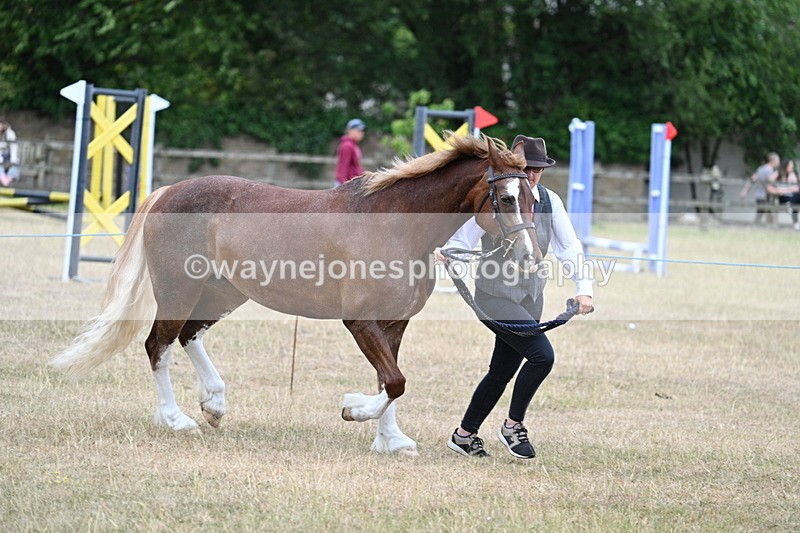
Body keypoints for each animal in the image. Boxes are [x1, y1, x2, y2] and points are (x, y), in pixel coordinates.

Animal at [50, 133, 542, 455]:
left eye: (535, 198)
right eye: (505, 199)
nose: (528, 256)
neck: (395, 224)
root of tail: (169, 191)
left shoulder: (394, 323)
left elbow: (389, 379)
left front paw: (390, 440)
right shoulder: (360, 322)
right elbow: (394, 381)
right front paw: (353, 411)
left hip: (223, 294)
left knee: (189, 335)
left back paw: (214, 403)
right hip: (178, 289)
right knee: (159, 344)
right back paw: (177, 420)